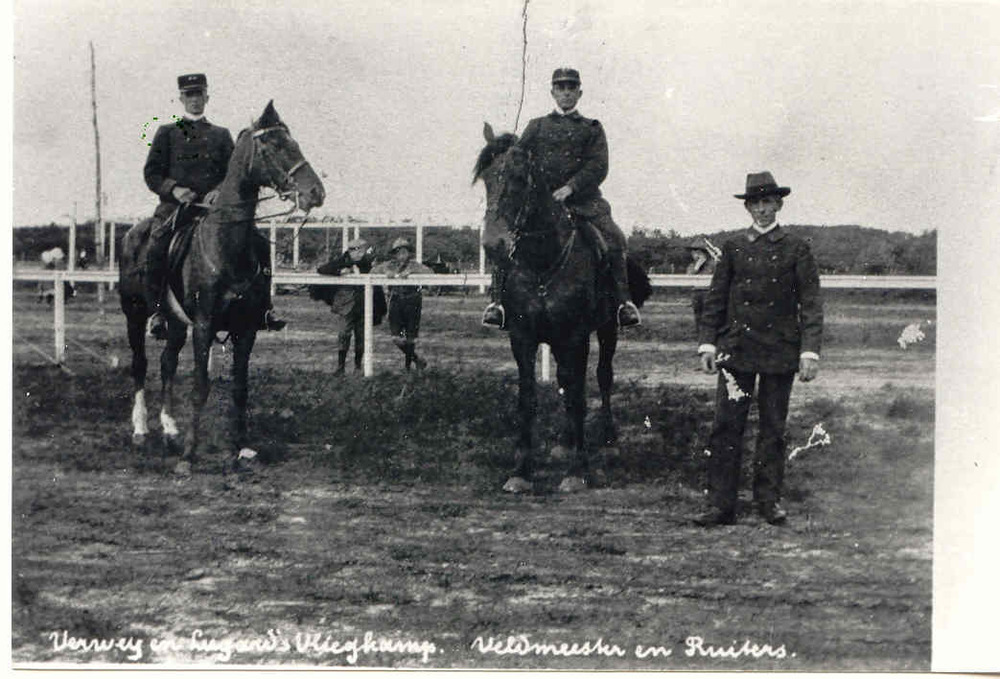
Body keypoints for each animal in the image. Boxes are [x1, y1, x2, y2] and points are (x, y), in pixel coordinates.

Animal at [118, 101, 325, 474]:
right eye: (274, 145)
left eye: (294, 142)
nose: (315, 193)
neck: (226, 245)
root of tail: (132, 233)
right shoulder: (204, 325)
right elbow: (200, 386)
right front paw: (189, 456)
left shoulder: (247, 329)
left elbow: (240, 387)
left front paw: (240, 448)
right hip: (135, 315)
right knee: (140, 364)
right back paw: (141, 430)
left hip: (175, 322)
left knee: (167, 363)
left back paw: (170, 429)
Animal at [474, 123, 651, 493]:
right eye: (485, 179)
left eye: (519, 178)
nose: (494, 244)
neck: (542, 261)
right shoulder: (523, 337)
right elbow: (528, 398)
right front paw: (521, 471)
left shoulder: (575, 336)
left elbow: (578, 397)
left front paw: (577, 472)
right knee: (566, 380)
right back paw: (565, 442)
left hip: (607, 330)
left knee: (603, 376)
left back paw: (608, 439)